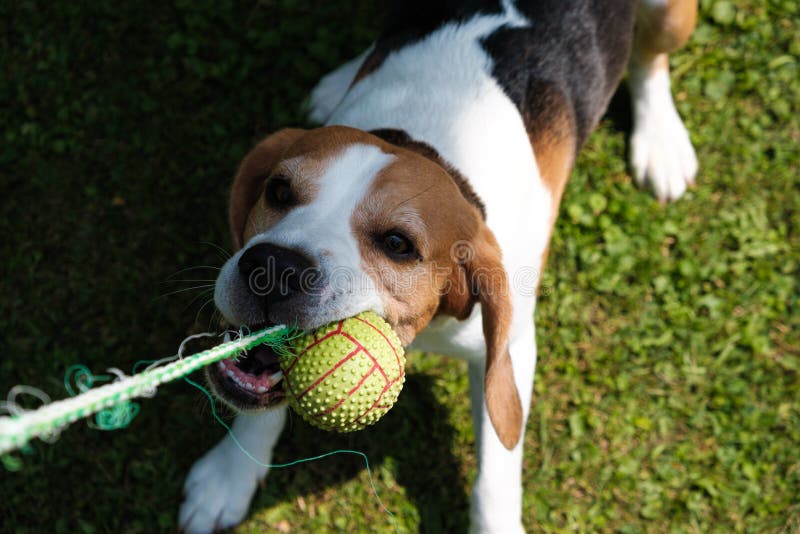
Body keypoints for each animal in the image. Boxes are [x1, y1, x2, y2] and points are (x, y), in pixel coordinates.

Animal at [178, 2, 696, 532]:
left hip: (668, 19)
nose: (274, 265)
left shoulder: (507, 349)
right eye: (278, 190)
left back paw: (661, 140)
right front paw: (231, 475)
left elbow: (496, 471)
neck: (424, 141)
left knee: (650, 60)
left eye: (397, 244)